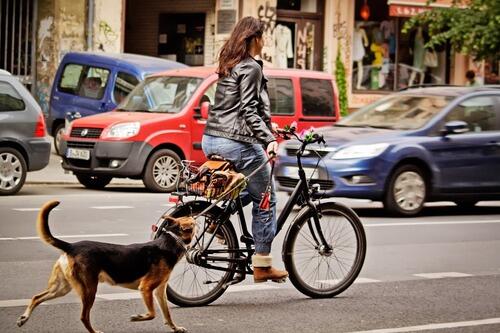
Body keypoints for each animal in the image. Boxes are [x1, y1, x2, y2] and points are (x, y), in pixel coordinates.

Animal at [16, 200, 195, 332]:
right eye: (193, 221)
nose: (194, 211)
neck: (171, 241)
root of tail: (71, 246)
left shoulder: (159, 291)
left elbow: (167, 314)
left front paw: (175, 328)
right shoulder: (145, 288)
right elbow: (152, 314)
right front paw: (138, 317)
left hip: (62, 288)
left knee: (37, 297)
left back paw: (24, 318)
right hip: (89, 290)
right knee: (84, 317)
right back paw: (94, 331)